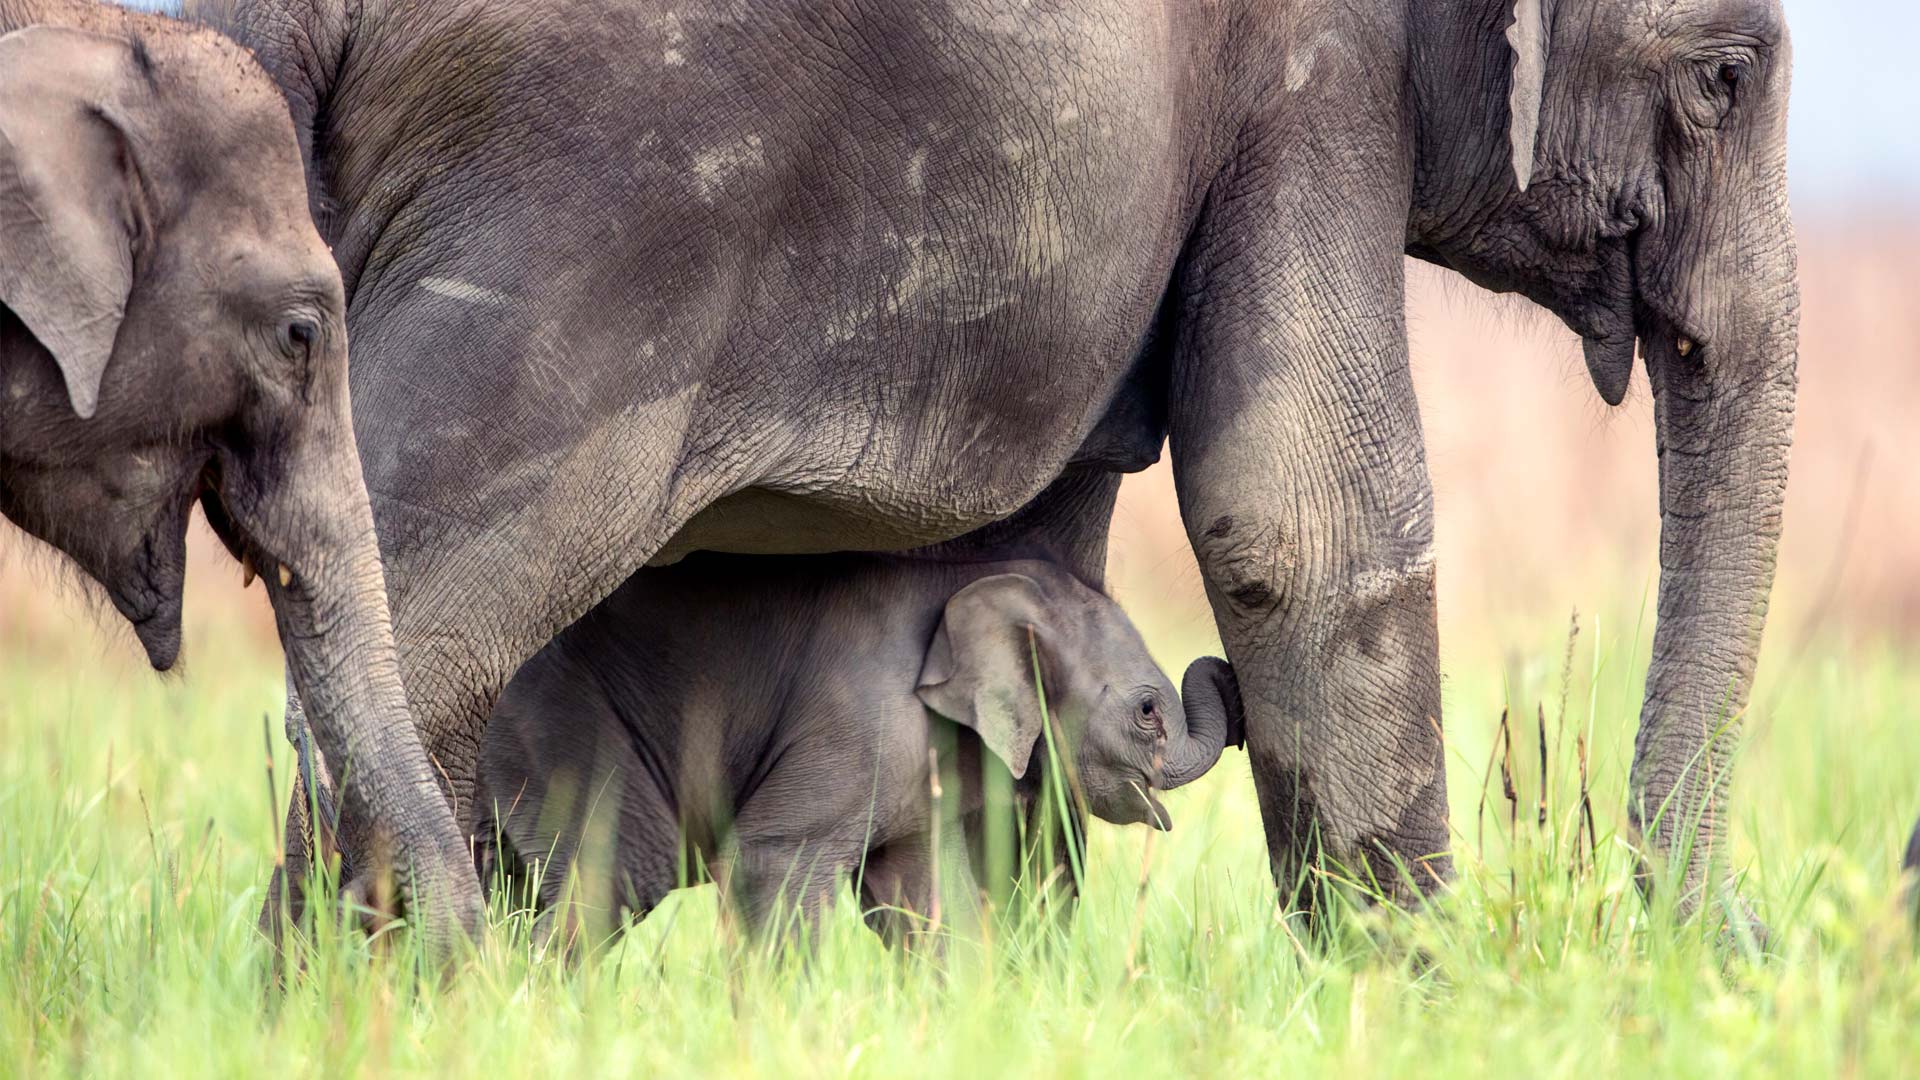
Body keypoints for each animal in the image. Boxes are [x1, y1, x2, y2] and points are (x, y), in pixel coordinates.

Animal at [472, 549, 1236, 937]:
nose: (1223, 670)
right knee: (614, 879)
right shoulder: (861, 722)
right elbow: (768, 862)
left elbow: (921, 895)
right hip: (565, 734)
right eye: (1147, 712)